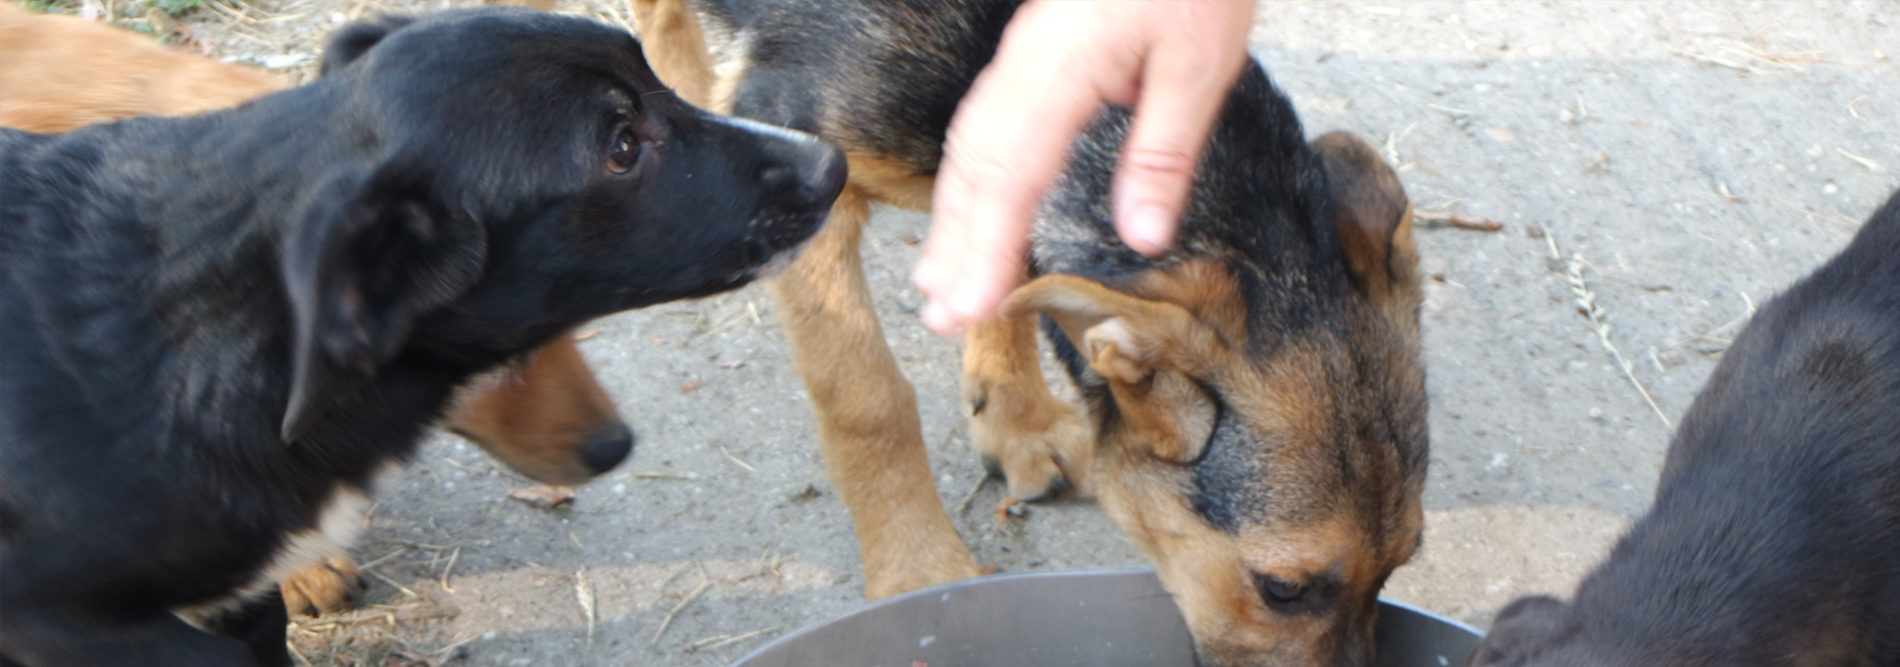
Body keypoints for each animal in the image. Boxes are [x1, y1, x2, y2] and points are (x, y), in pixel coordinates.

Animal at [630, 2, 1428, 665]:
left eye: (1401, 562)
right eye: (1282, 589)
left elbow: (999, 271)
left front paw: (1017, 419)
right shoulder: (815, 180)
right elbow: (866, 397)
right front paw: (917, 571)